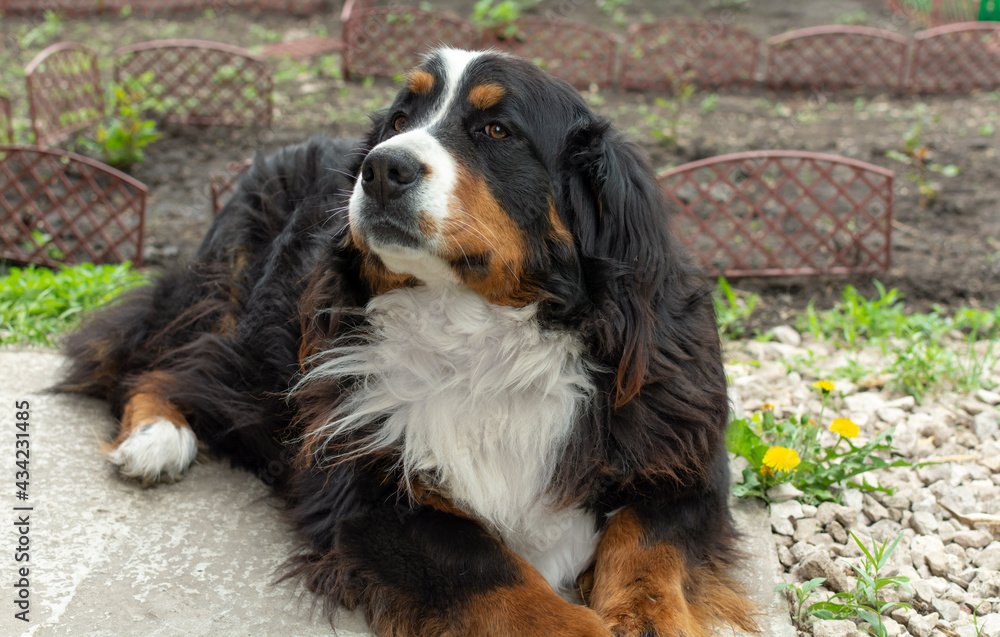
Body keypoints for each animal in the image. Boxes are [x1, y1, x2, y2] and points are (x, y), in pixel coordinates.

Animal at [60, 47, 756, 632]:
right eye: (400, 117)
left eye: (496, 131)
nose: (380, 167)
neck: (484, 337)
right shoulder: (365, 488)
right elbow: (494, 570)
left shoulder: (681, 448)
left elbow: (646, 542)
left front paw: (648, 618)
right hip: (246, 334)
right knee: (156, 365)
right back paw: (157, 440)